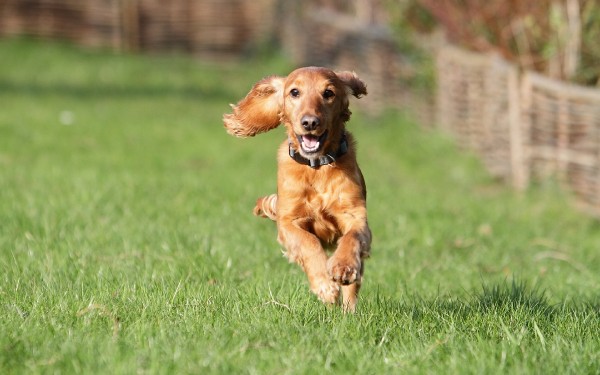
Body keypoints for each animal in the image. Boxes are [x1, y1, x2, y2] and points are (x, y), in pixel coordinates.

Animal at [223, 67, 370, 312]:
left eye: (328, 93)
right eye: (294, 92)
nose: (310, 122)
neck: (316, 167)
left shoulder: (354, 214)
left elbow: (351, 237)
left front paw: (343, 267)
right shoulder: (288, 221)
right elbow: (308, 242)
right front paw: (325, 286)